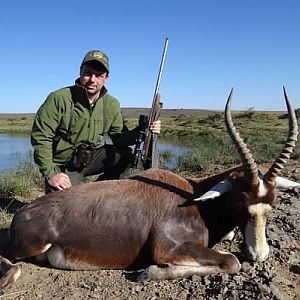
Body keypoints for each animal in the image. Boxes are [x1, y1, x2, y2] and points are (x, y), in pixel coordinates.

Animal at [0, 87, 296, 288]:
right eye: (240, 201)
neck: (194, 199)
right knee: (12, 264)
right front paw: (148, 272)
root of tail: (21, 215)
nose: (259, 255)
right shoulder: (167, 249)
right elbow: (231, 261)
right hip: (27, 248)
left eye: (271, 204)